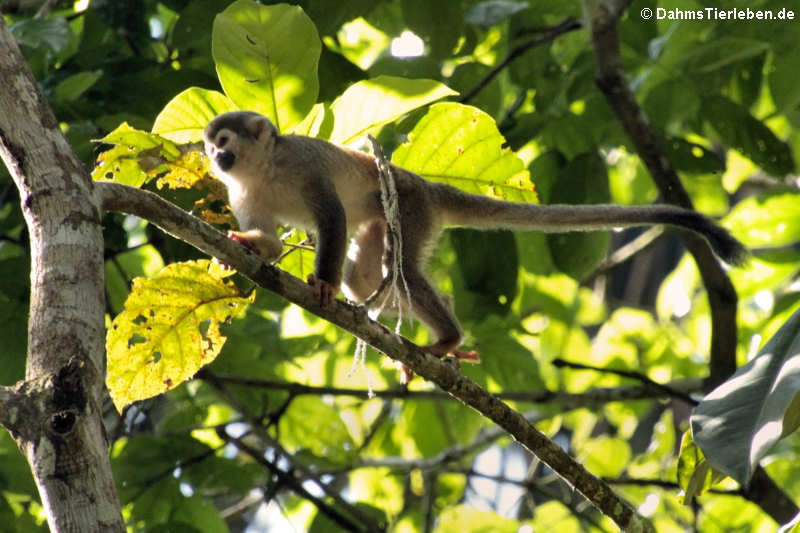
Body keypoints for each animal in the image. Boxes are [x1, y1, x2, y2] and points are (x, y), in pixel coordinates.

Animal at [203, 110, 748, 362]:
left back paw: (447, 336)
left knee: (396, 267)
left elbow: (332, 217)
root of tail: (426, 184)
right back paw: (442, 323)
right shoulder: (240, 193)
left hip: (408, 206)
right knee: (372, 277)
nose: (217, 158)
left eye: (225, 143)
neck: (264, 170)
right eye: (210, 149)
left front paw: (322, 284)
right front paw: (250, 247)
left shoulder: (302, 163)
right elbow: (271, 239)